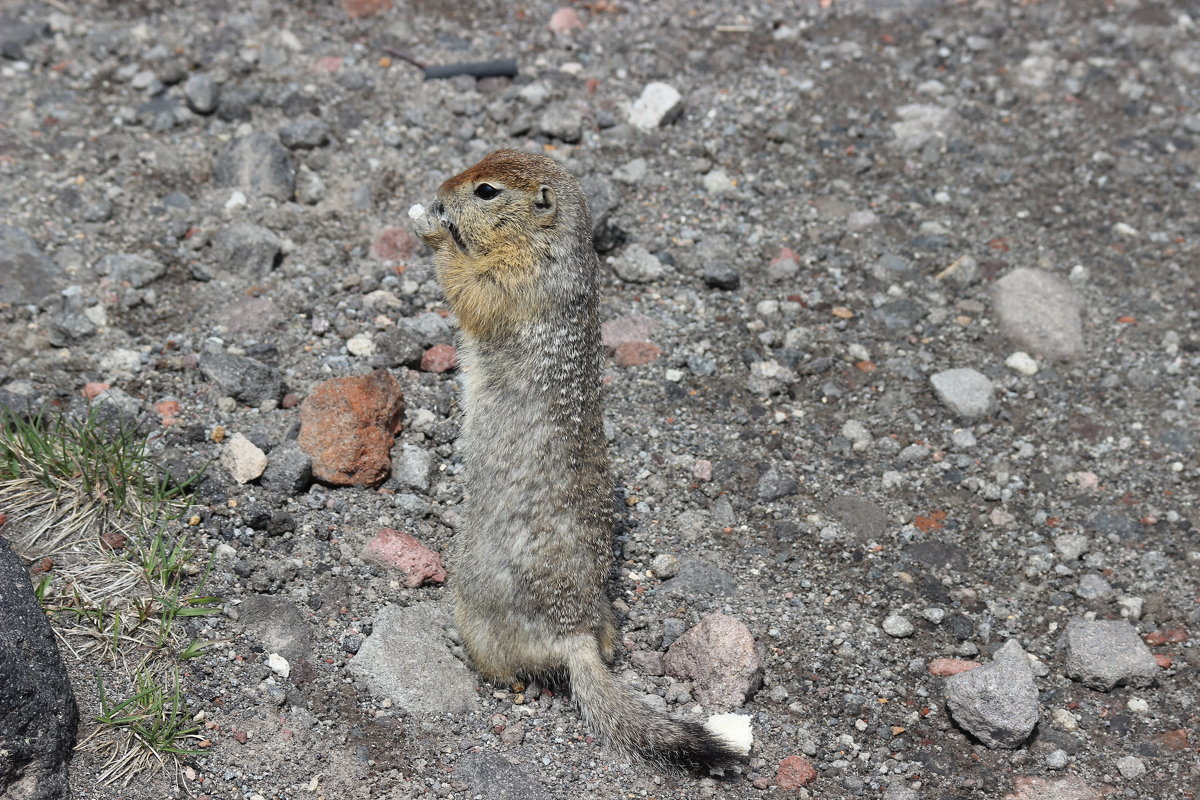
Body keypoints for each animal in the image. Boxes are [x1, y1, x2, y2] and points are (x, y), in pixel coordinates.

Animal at [412, 149, 739, 767]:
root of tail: (576, 635)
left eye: (486, 190)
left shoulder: (516, 280)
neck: (551, 246)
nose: (437, 196)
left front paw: (433, 235)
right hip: (603, 621)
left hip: (475, 608)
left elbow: (469, 288)